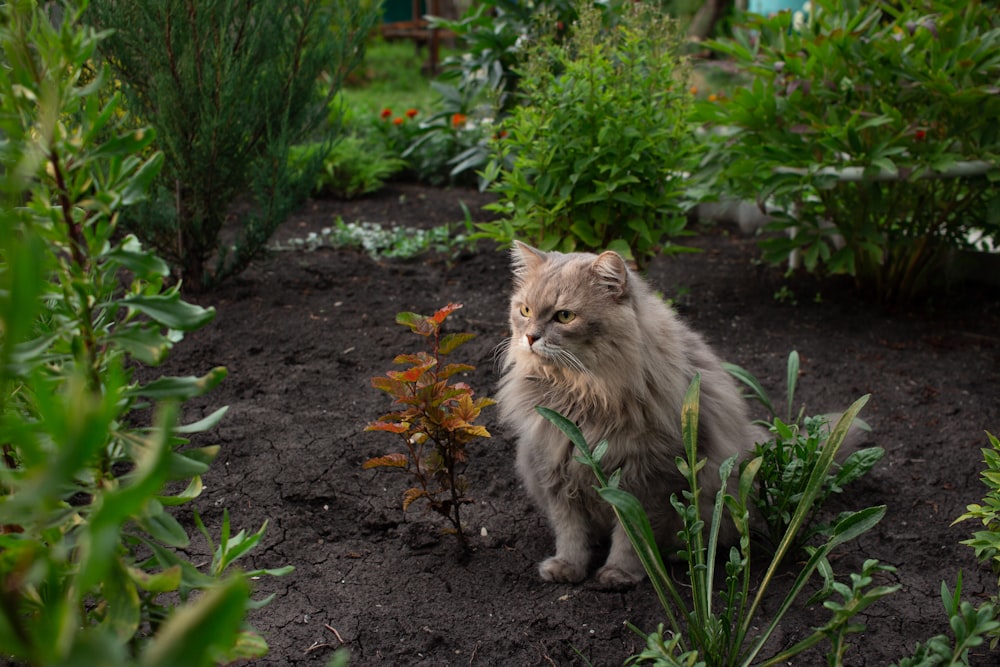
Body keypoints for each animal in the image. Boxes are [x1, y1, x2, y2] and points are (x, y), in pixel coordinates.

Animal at [496, 243, 760, 588]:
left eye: (565, 316)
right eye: (525, 311)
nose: (529, 337)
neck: (581, 393)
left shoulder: (647, 479)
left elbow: (633, 537)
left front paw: (620, 573)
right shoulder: (554, 467)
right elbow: (570, 531)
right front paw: (568, 567)